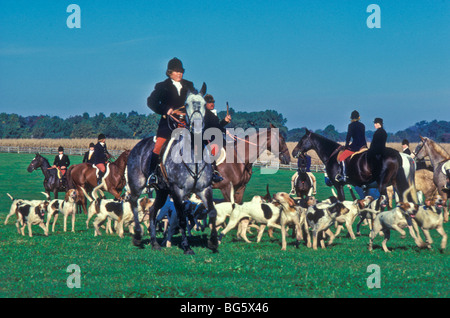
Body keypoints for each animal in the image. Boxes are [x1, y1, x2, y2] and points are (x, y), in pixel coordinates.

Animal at [125, 84, 219, 253]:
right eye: (186, 104)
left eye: (203, 104)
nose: (196, 126)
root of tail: (137, 146)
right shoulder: (177, 191)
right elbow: (181, 219)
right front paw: (187, 247)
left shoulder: (205, 189)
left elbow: (213, 212)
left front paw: (213, 242)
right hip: (137, 186)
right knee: (134, 204)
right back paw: (137, 236)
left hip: (162, 191)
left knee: (152, 211)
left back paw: (155, 243)